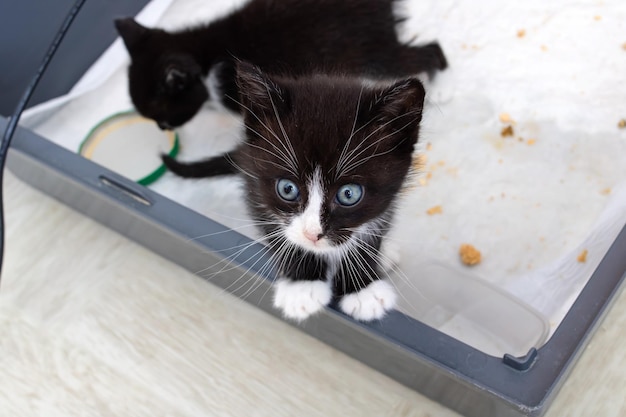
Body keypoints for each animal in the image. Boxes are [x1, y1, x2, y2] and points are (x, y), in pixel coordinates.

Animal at [163, 63, 424, 320]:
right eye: (287, 189)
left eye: (349, 194)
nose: (312, 235)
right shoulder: (256, 187)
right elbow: (278, 230)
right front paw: (303, 287)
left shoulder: (386, 201)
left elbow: (371, 231)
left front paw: (361, 289)